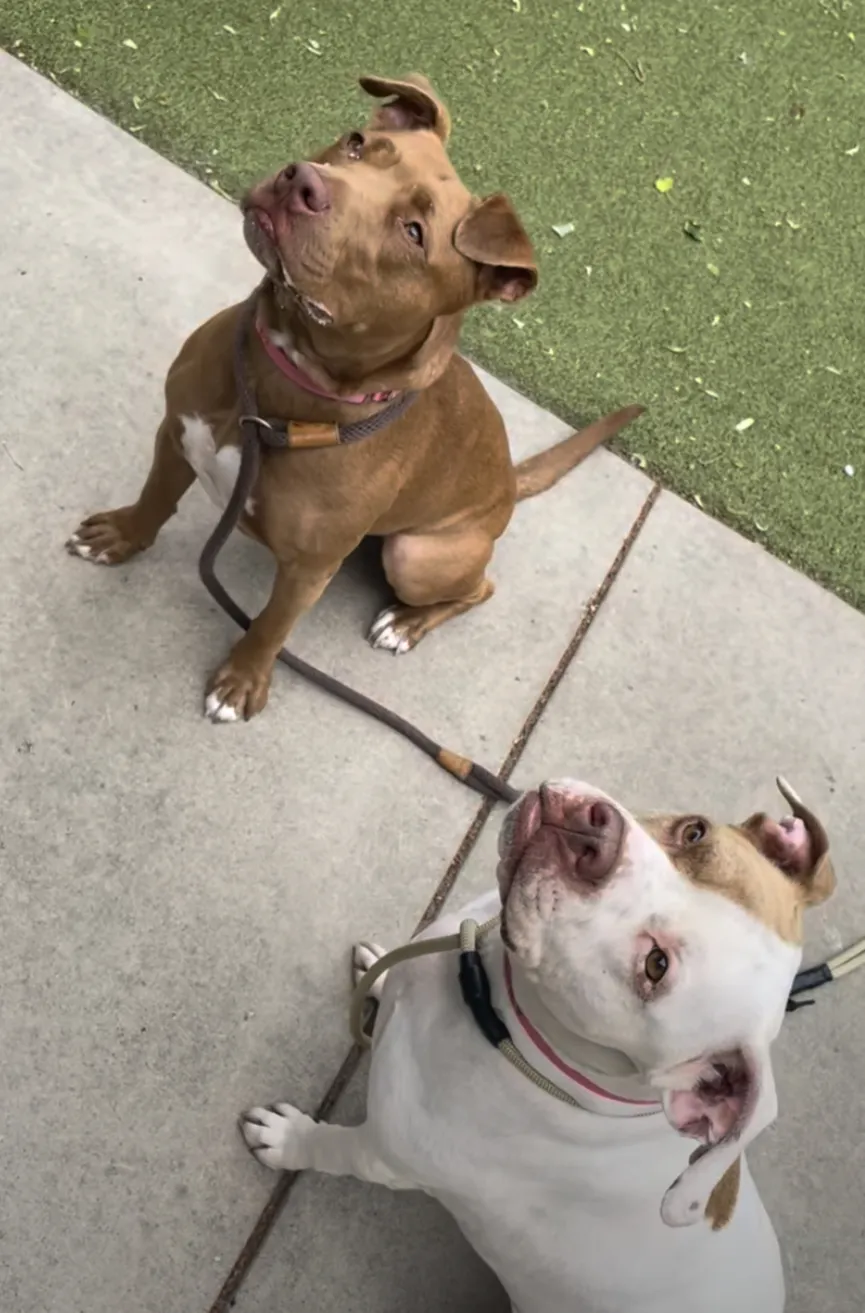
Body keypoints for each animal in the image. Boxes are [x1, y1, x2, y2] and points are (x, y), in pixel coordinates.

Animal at [67, 75, 643, 724]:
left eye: (413, 233)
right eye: (356, 143)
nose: (302, 182)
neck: (280, 382)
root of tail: (506, 485)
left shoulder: (309, 568)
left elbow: (271, 625)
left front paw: (242, 681)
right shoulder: (177, 435)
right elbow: (155, 499)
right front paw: (121, 537)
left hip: (416, 557)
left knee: (479, 588)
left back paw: (406, 625)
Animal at [241, 777, 834, 1313]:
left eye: (655, 966)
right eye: (694, 832)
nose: (594, 834)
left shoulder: (384, 1156)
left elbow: (330, 1148)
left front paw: (286, 1138)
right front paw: (379, 977)